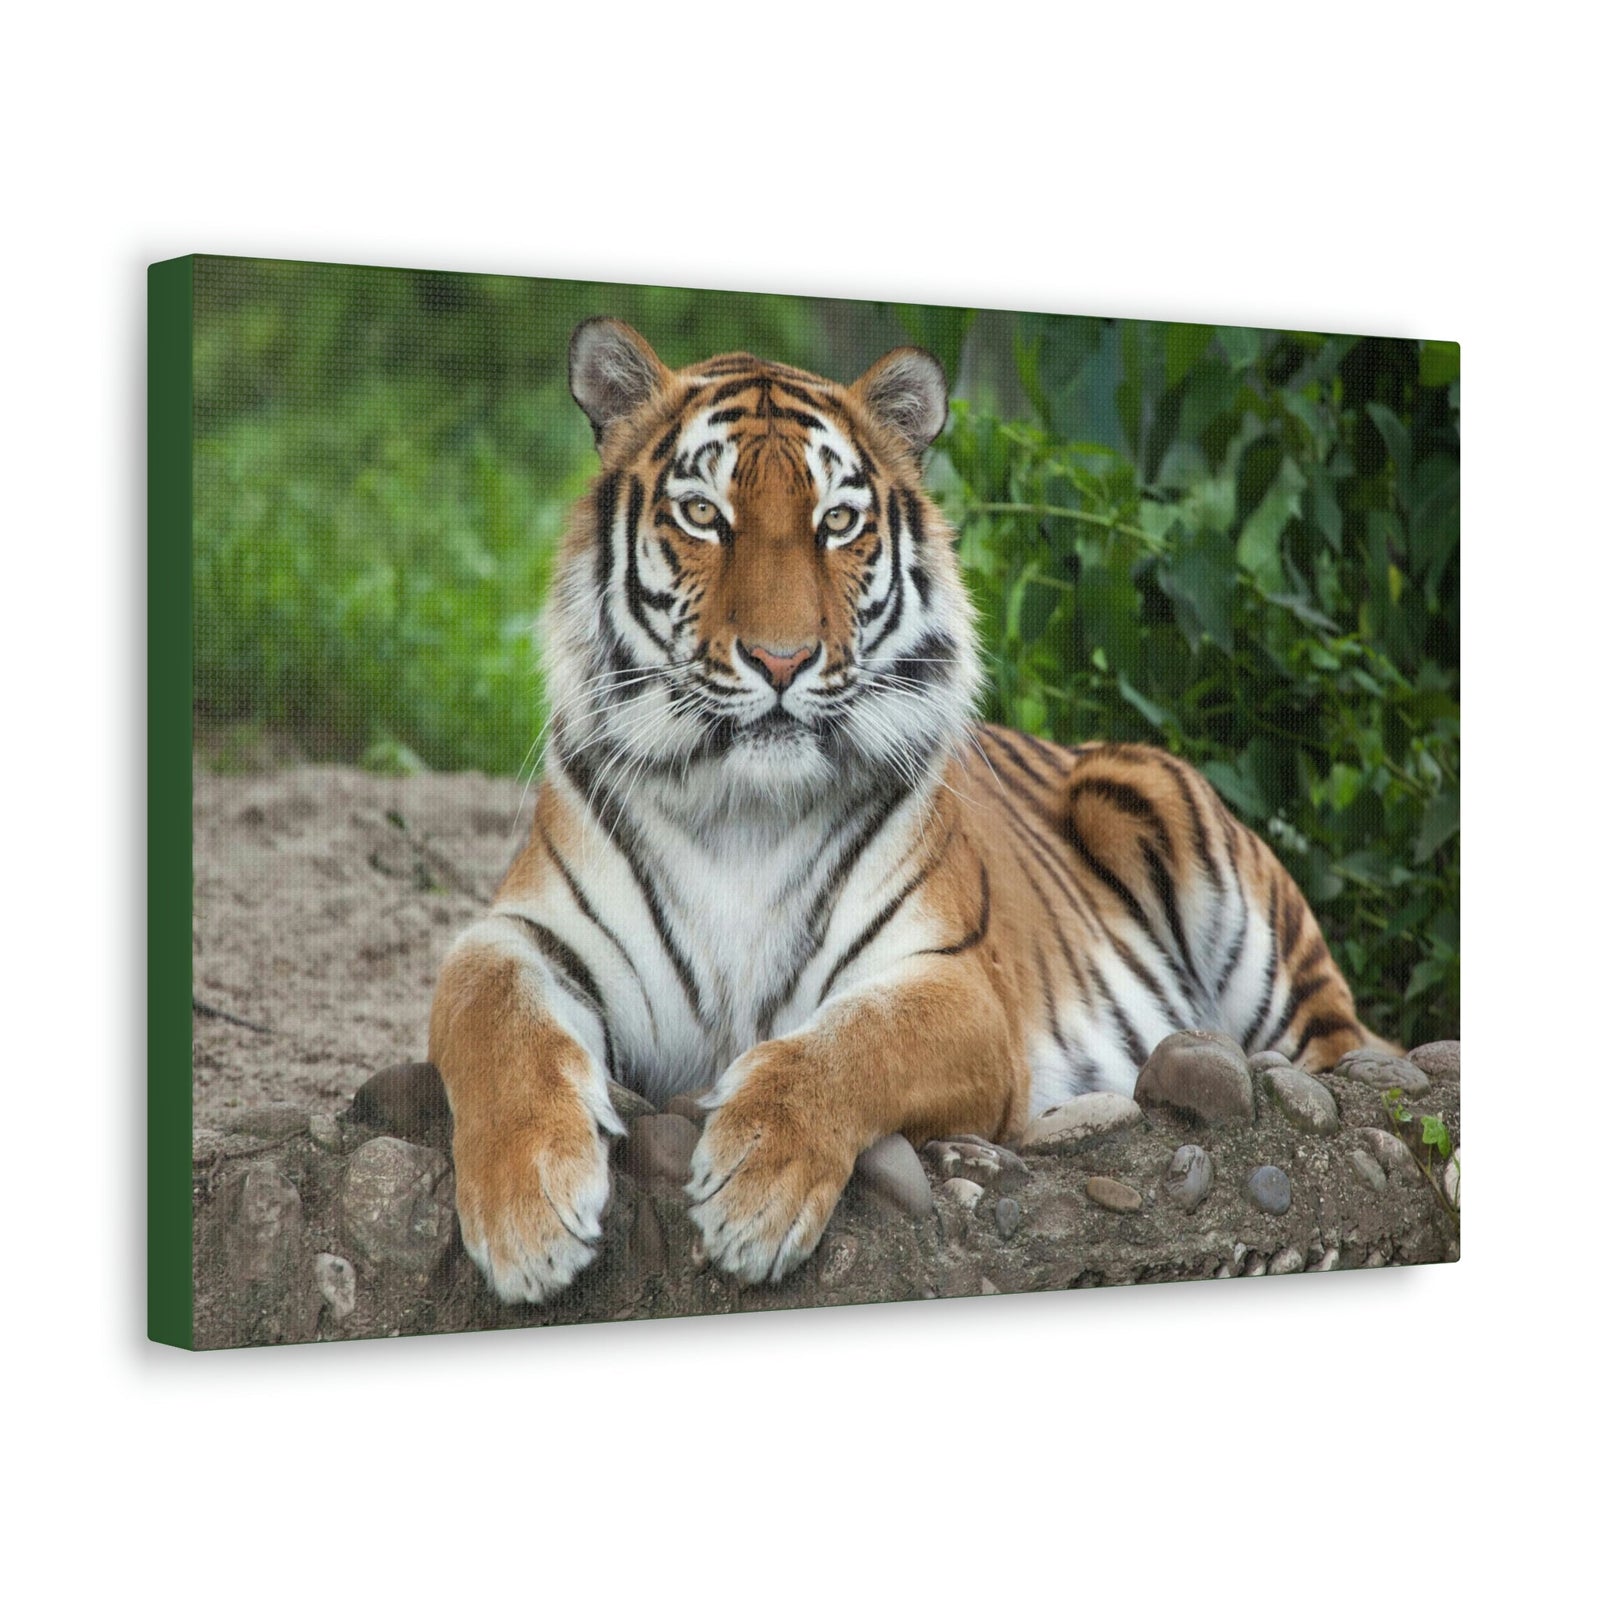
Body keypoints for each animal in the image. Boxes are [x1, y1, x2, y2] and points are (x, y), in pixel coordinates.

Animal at [428, 317, 1384, 1304]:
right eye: (703, 515)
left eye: (837, 522)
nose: (781, 660)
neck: (741, 810)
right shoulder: (521, 934)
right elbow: (493, 1019)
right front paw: (528, 1215)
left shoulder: (955, 984)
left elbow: (850, 1045)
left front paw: (756, 1188)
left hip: (1176, 834)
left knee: (1346, 1049)